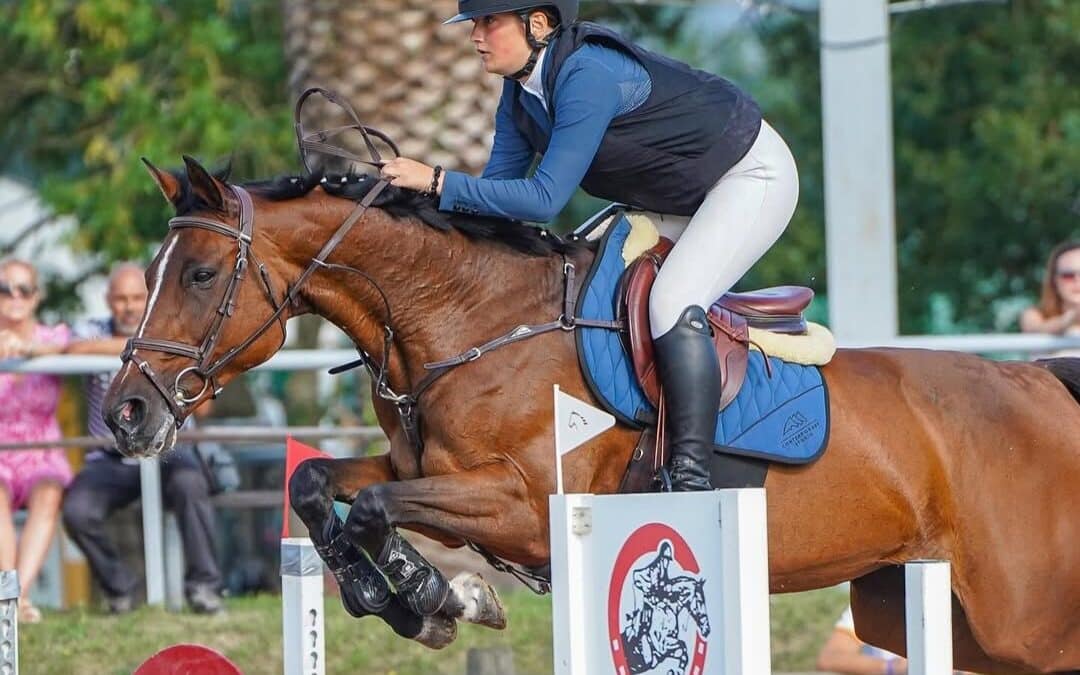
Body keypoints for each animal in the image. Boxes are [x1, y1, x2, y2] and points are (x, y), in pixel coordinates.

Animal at [103, 155, 1080, 669]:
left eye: (200, 274)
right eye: (151, 274)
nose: (125, 415)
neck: (471, 320)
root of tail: (1041, 384)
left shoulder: (528, 506)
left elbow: (376, 507)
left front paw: (434, 594)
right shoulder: (427, 470)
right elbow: (319, 484)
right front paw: (419, 599)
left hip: (1025, 623)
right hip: (935, 613)